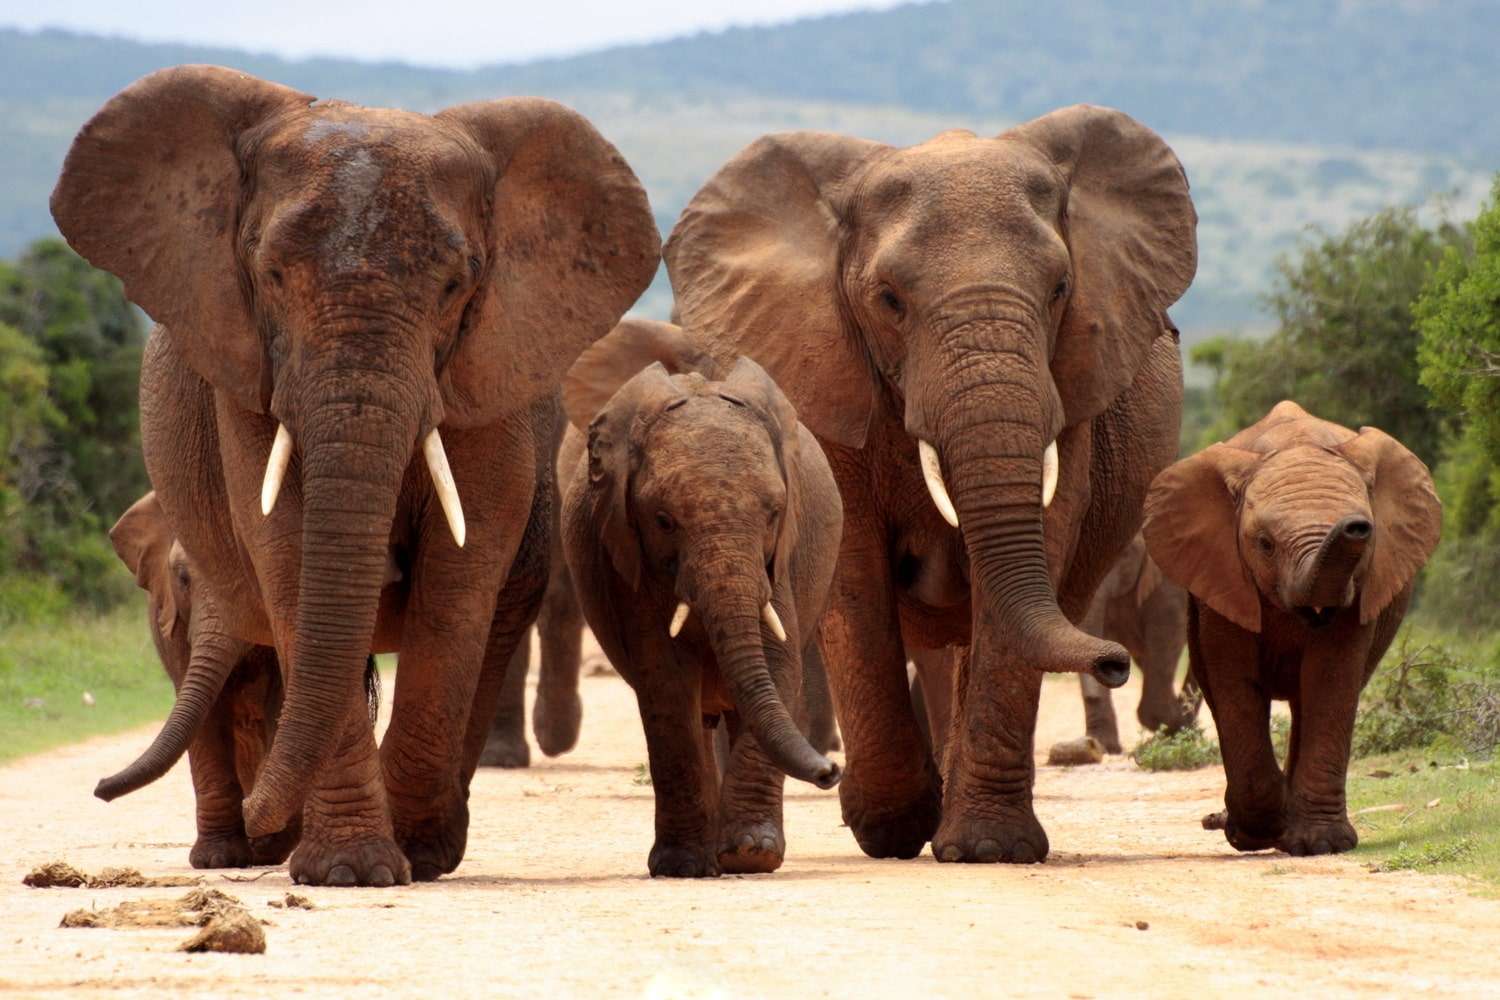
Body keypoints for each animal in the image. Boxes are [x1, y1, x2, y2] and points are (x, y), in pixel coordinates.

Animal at [51, 66, 659, 885]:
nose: (261, 816)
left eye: (456, 286)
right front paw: (350, 871)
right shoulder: (248, 371)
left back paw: (426, 843)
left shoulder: (487, 374)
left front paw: (405, 854)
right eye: (272, 275)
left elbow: (460, 577)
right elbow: (287, 555)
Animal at [562, 337, 844, 877]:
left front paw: (752, 854)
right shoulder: (627, 557)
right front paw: (682, 865)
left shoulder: (780, 560)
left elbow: (778, 662)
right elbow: (665, 680)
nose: (832, 770)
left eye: (774, 513)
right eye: (663, 520)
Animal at [664, 105, 1196, 863]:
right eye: (888, 300)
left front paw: (987, 849)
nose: (1115, 662)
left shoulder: (1072, 392)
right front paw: (890, 828)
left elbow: (1037, 545)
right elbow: (853, 568)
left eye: (1061, 289)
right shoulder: (824, 374)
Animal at [1143, 401, 1441, 855]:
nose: (1356, 525)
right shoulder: (1223, 574)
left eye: (1368, 537)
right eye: (1265, 544)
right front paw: (1254, 834)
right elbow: (1234, 683)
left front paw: (1321, 844)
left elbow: (1330, 679)